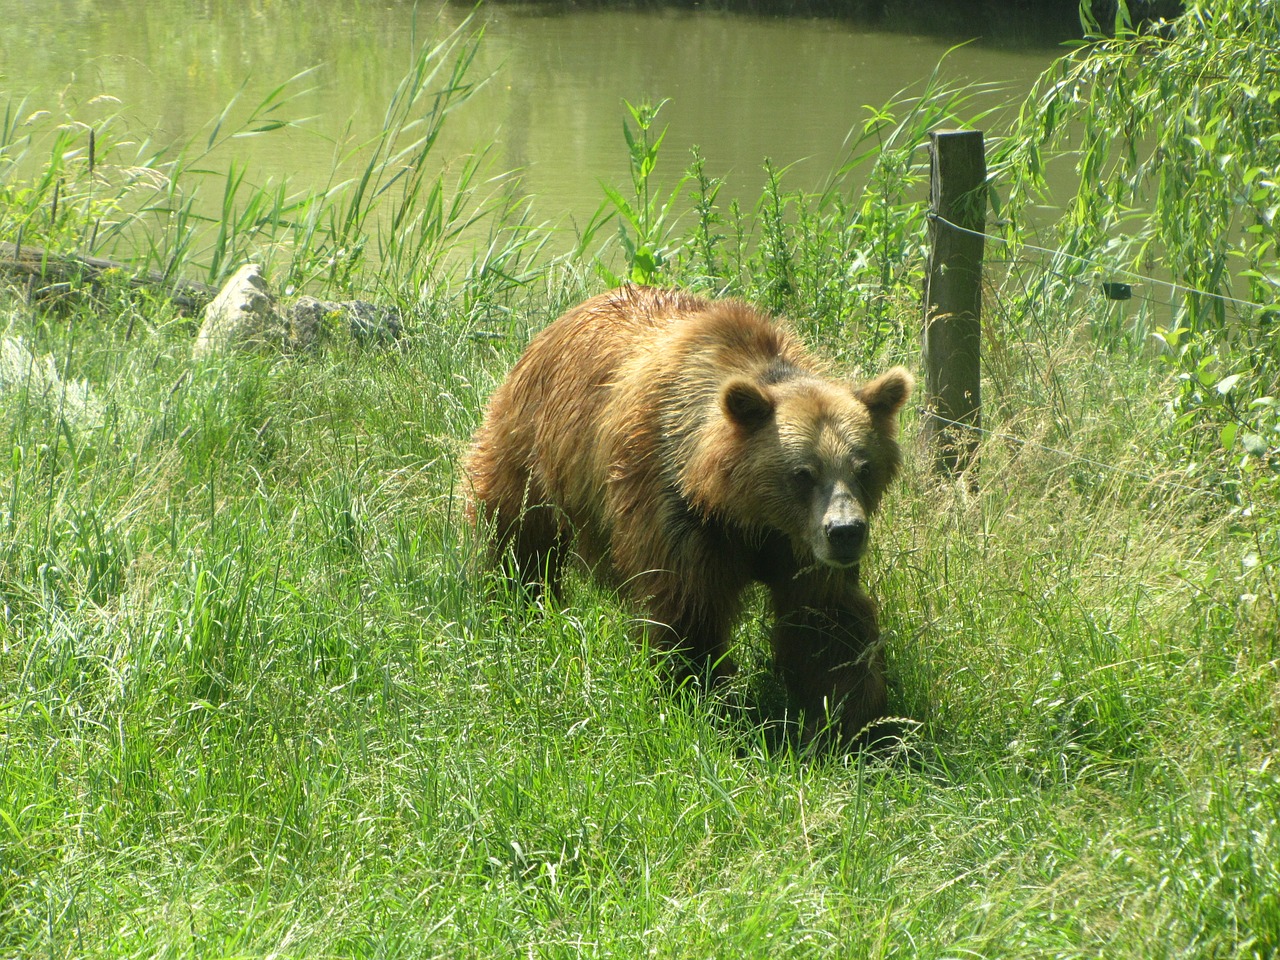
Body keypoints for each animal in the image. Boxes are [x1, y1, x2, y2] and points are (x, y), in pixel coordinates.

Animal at [465, 285, 916, 742]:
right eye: (803, 472)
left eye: (863, 467)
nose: (845, 531)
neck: (744, 512)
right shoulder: (677, 509)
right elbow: (689, 612)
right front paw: (701, 698)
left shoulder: (799, 546)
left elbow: (824, 618)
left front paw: (847, 720)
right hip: (530, 449)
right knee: (520, 539)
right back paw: (520, 603)